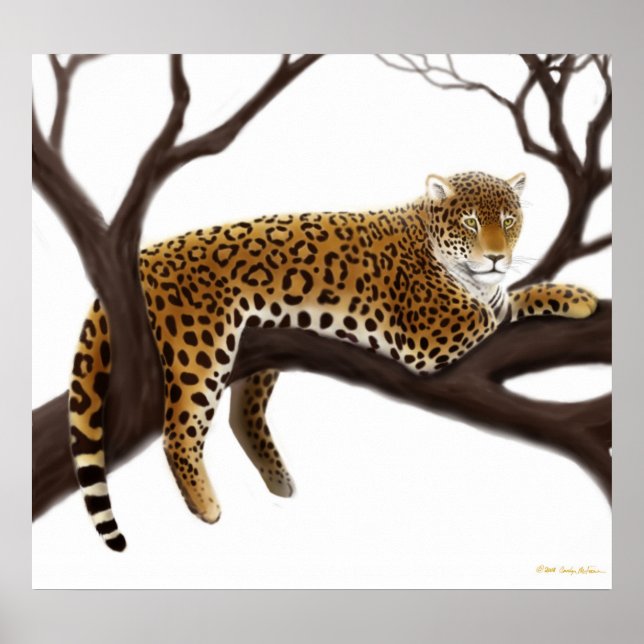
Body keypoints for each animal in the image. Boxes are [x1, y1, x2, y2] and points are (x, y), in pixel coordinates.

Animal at [68, 171, 598, 551]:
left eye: (508, 221)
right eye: (470, 222)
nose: (495, 257)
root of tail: (145, 257)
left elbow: (512, 297)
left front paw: (574, 296)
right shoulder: (429, 335)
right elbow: (494, 309)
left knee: (242, 415)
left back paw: (278, 479)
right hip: (200, 348)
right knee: (180, 433)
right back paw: (207, 506)